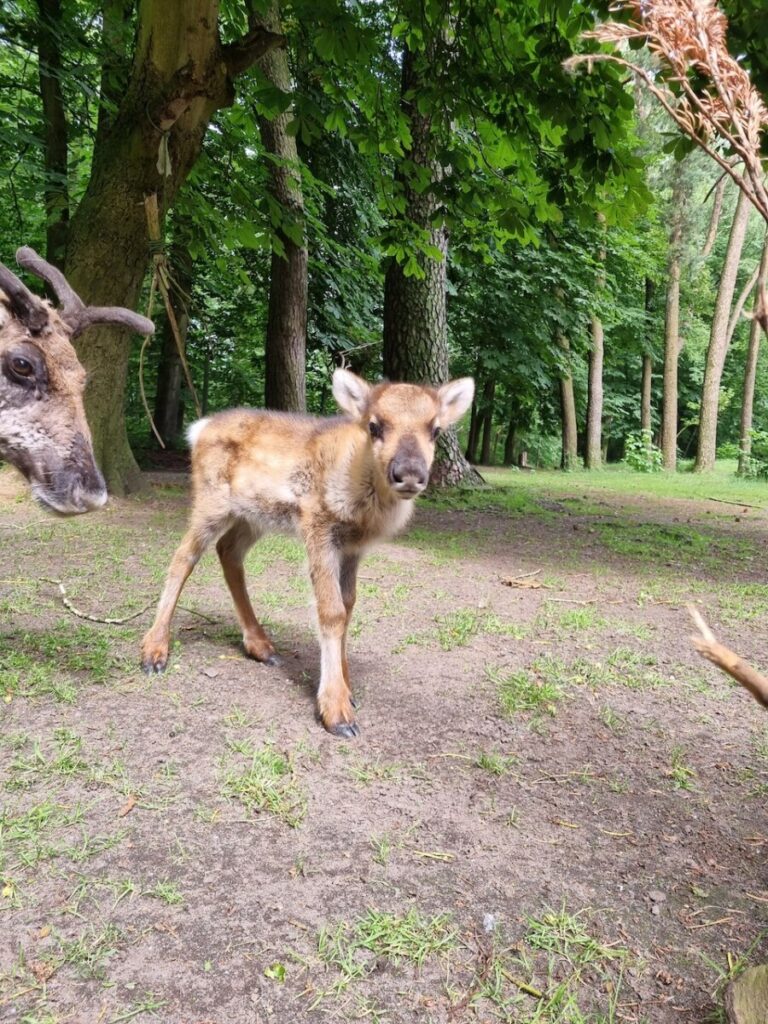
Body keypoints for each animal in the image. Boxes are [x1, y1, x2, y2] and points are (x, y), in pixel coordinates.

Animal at [140, 370, 473, 737]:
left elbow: (348, 605)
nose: (410, 473)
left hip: (252, 517)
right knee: (183, 556)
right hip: (211, 501)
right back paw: (154, 652)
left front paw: (348, 689)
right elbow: (331, 611)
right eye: (374, 425)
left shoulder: (353, 548)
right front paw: (337, 711)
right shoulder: (318, 527)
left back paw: (262, 646)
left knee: (228, 551)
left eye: (435, 429)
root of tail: (199, 429)